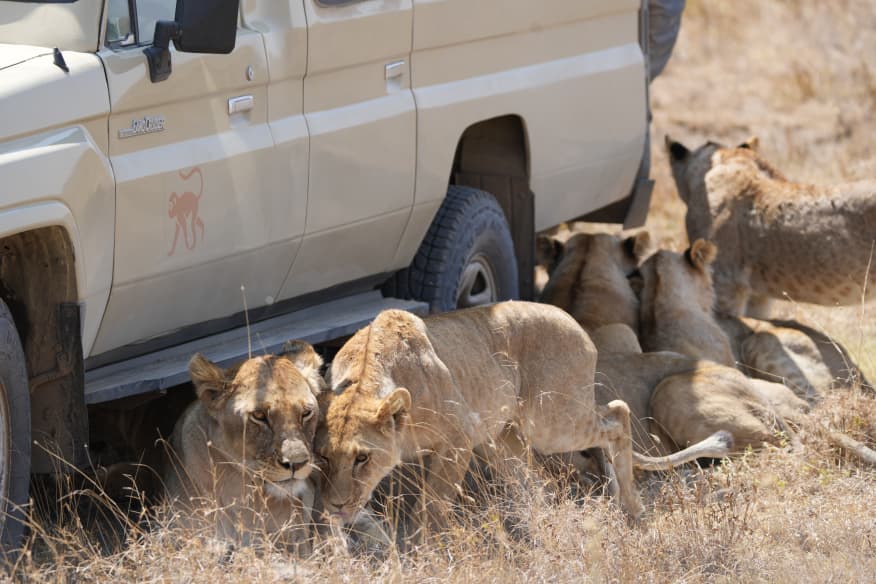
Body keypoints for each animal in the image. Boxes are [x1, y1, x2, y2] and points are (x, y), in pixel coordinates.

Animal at [315, 302, 734, 528]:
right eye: (323, 458)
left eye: (362, 458)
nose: (335, 506)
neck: (366, 378)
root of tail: (575, 323)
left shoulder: (459, 437)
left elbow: (431, 506)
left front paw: (429, 548)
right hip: (505, 437)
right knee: (540, 486)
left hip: (551, 421)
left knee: (617, 413)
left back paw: (631, 509)